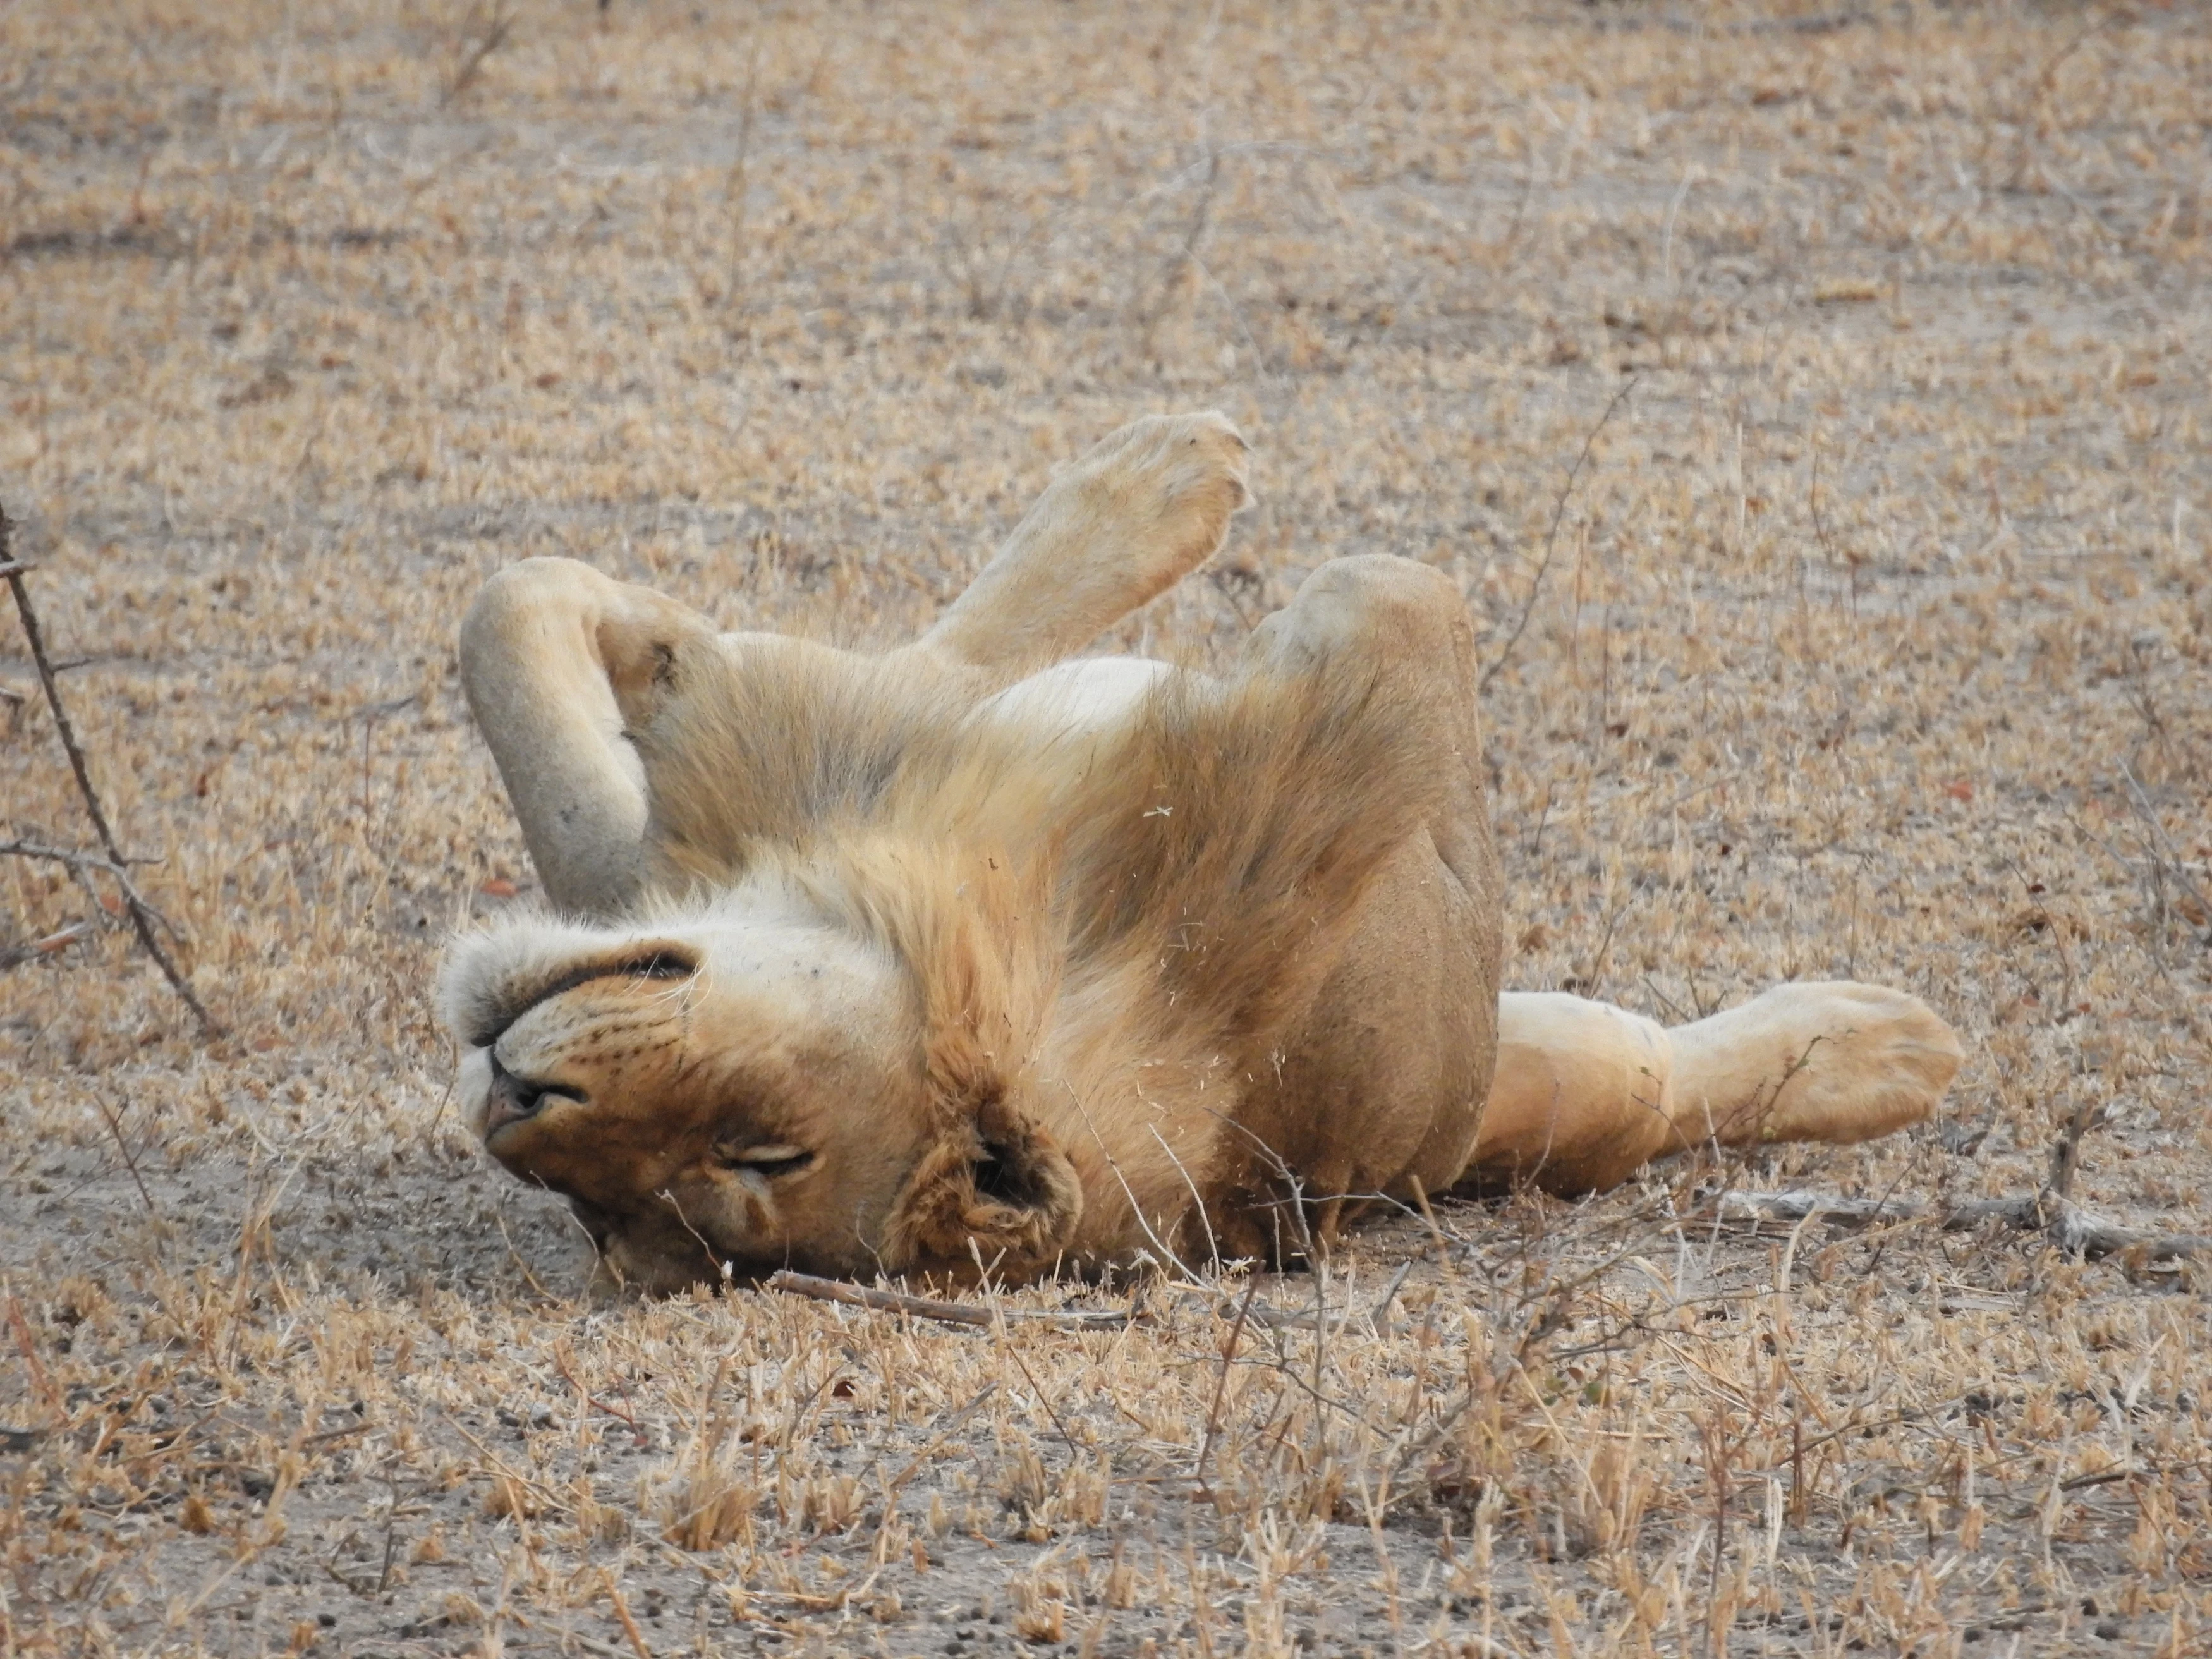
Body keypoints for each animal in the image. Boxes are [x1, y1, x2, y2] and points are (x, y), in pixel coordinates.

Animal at [437, 412, 1963, 1293]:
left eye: (760, 1152)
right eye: (603, 1217)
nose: (516, 1097)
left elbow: (521, 615)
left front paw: (656, 641)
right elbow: (514, 616)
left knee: (1659, 1076)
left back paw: (1894, 1038)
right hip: (1519, 1075)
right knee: (1647, 1078)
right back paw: (1892, 1042)